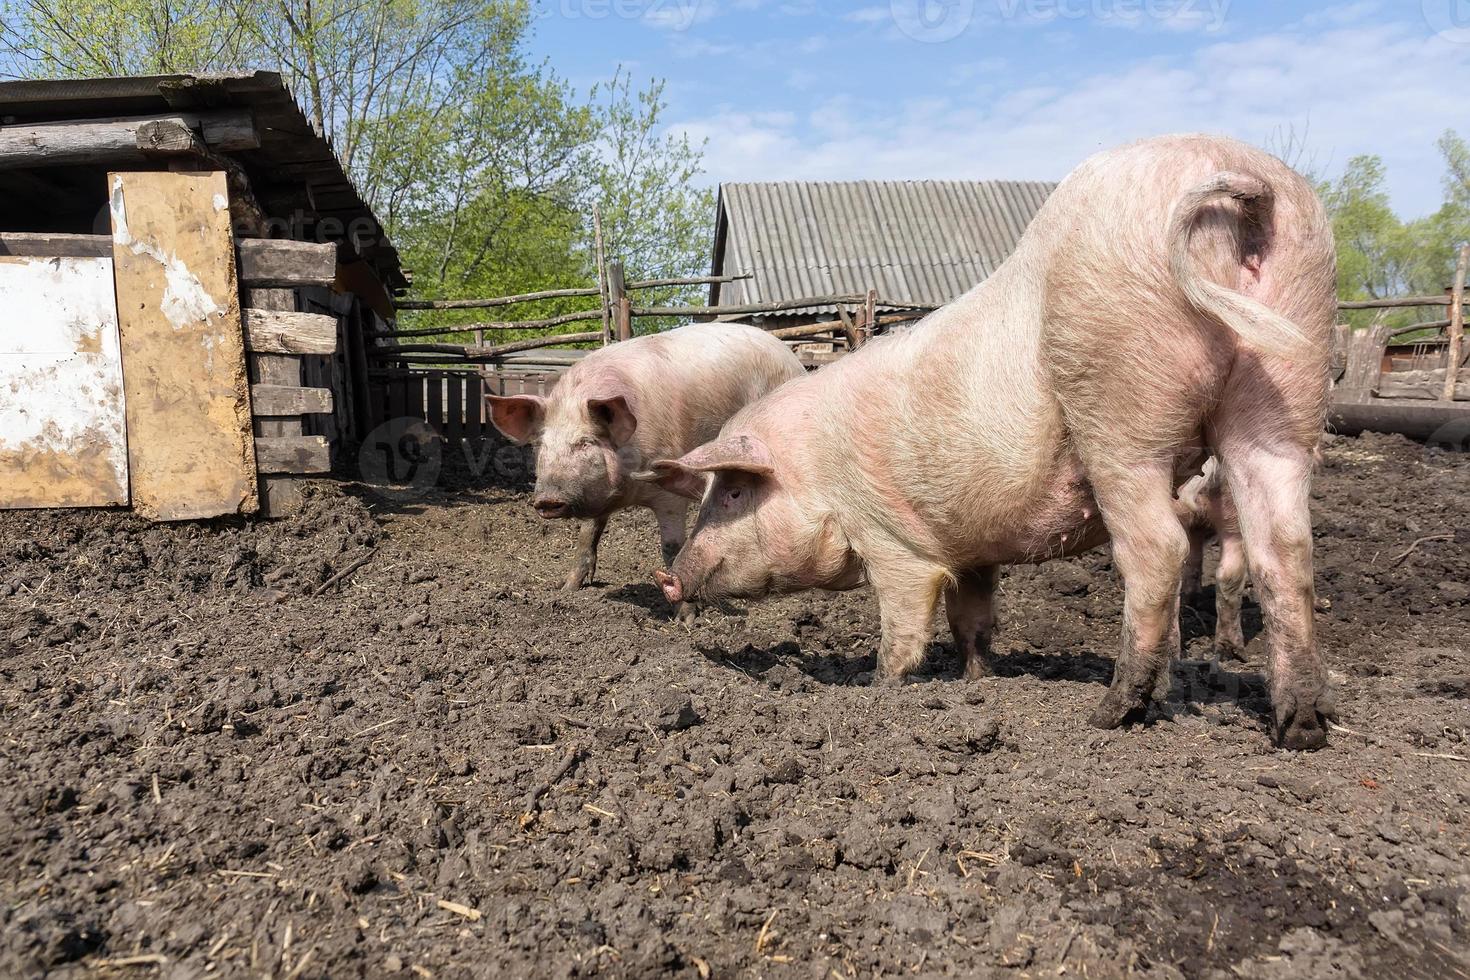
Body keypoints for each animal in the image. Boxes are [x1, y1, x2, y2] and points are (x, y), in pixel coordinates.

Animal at [482, 321, 805, 617]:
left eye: (585, 442)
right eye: (540, 444)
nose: (547, 499)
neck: (629, 490)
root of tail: (789, 355)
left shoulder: (670, 495)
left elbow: (671, 549)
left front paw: (686, 619)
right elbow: (587, 534)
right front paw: (567, 589)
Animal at [640, 134, 1334, 752]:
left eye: (734, 492)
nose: (669, 578)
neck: (815, 474)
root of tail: (1243, 180)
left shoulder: (891, 540)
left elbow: (904, 622)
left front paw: (879, 692)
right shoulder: (969, 548)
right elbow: (971, 620)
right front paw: (979, 682)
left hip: (1121, 405)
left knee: (1158, 549)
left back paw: (1114, 713)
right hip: (1283, 390)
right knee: (1286, 548)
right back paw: (1300, 728)